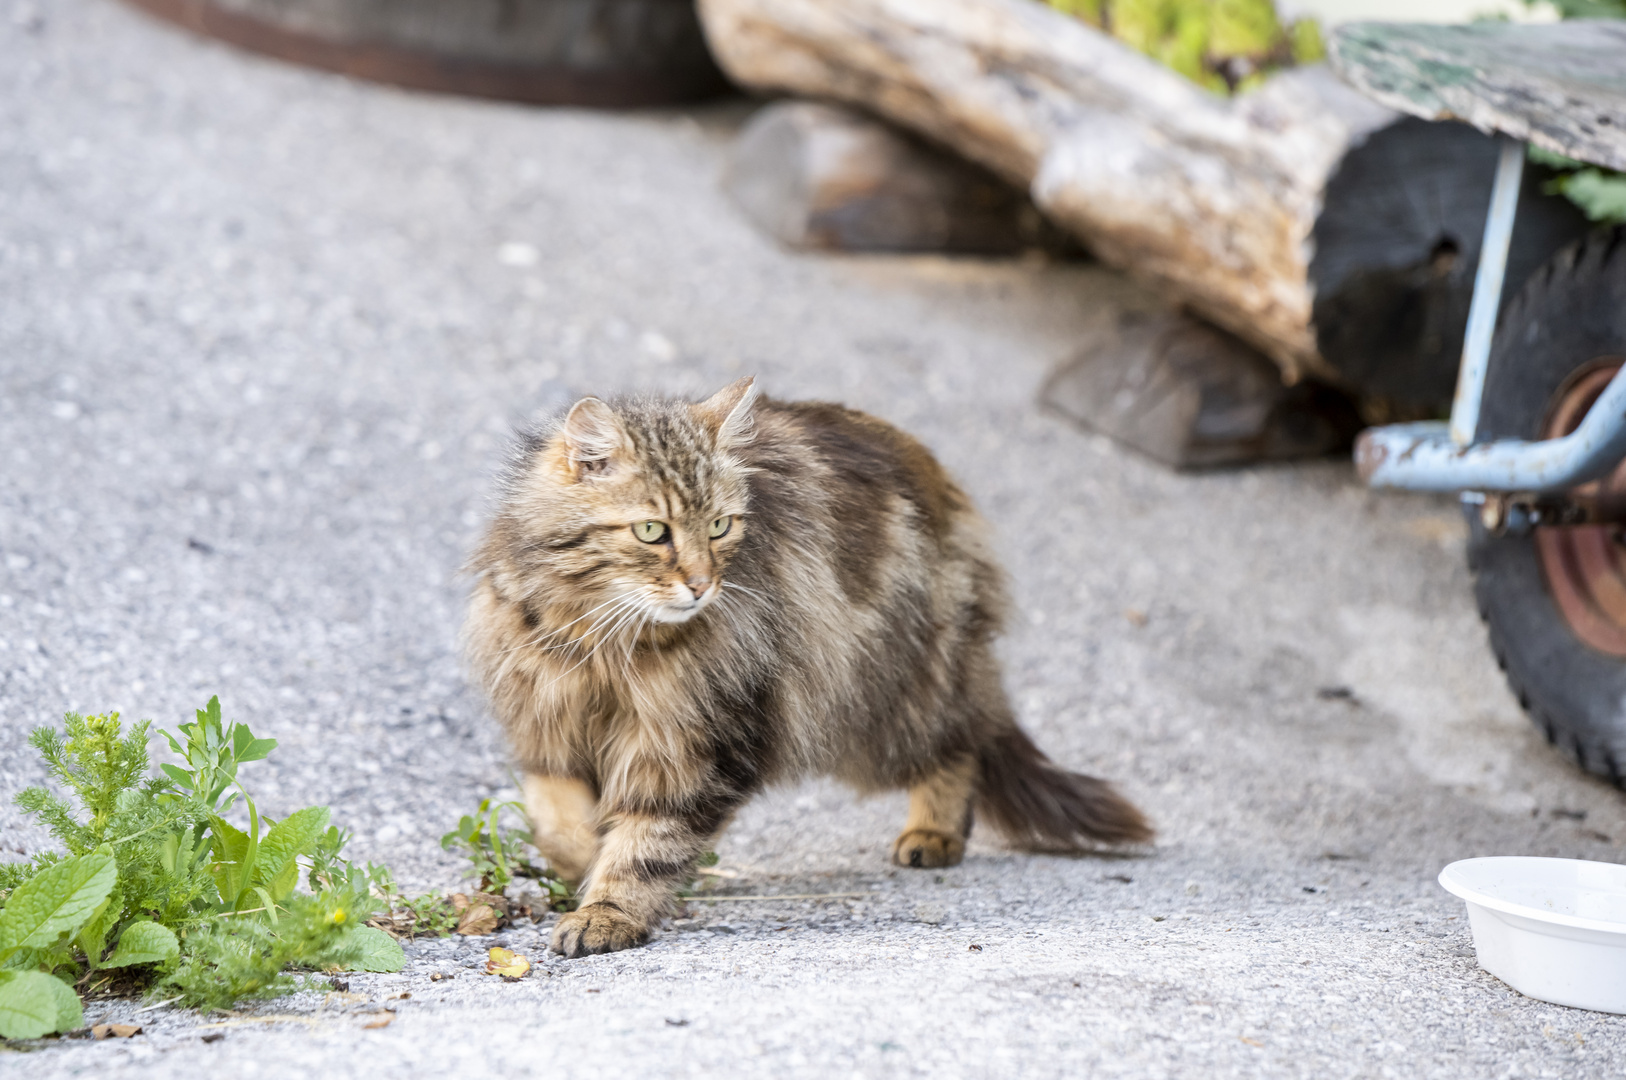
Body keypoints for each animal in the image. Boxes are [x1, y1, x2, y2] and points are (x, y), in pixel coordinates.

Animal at [465, 377, 1151, 956]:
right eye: (652, 531)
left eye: (720, 527)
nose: (703, 585)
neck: (601, 637)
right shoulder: (546, 721)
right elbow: (557, 821)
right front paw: (583, 864)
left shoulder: (697, 738)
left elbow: (647, 841)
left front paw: (607, 911)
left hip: (883, 702)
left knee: (962, 745)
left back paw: (935, 833)